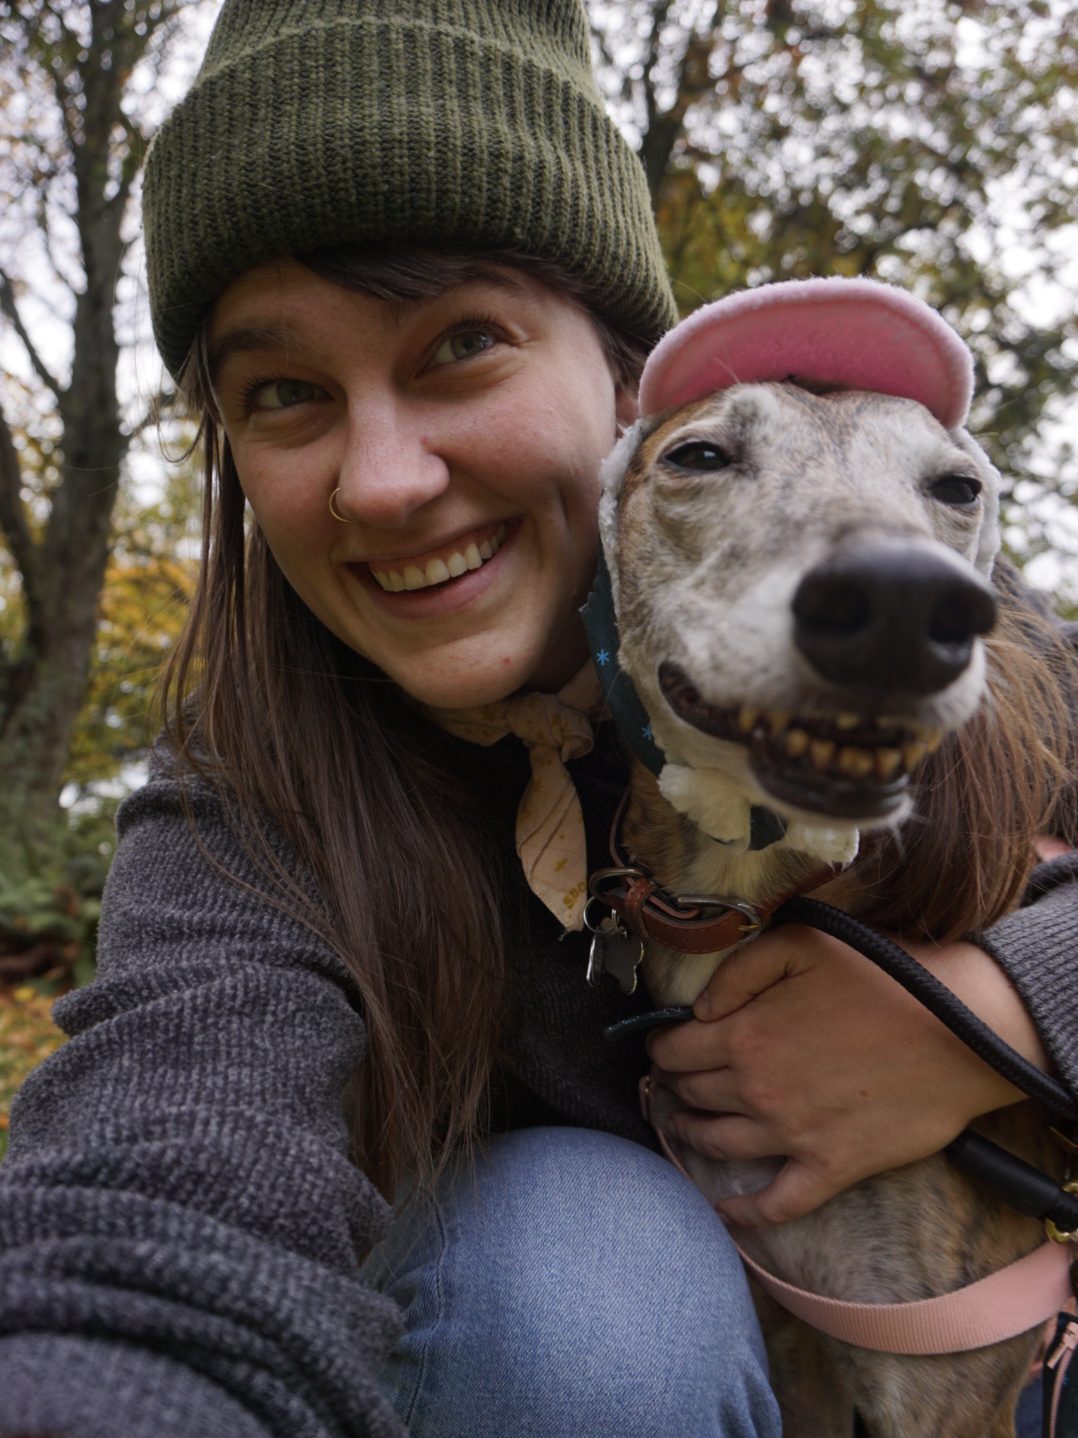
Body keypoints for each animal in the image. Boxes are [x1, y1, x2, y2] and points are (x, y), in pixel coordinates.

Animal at [595, 277, 1075, 1438]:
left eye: (959, 486)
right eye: (699, 456)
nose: (904, 604)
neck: (743, 900)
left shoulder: (949, 1378)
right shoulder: (793, 1339)